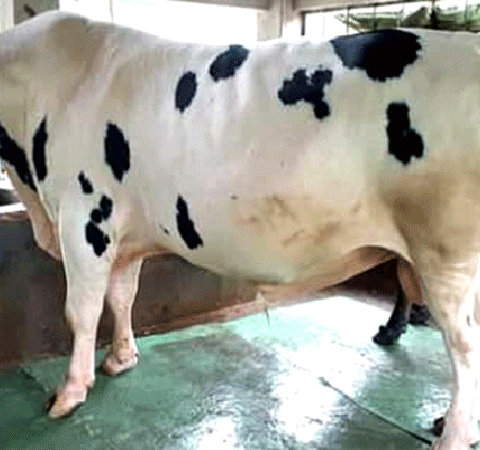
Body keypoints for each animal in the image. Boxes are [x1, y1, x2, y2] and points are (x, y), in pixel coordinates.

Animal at [1, 11, 480, 450]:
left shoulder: (83, 218)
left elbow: (80, 311)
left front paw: (69, 393)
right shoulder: (123, 233)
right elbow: (121, 297)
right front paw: (121, 358)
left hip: (445, 255)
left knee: (465, 346)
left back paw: (452, 435)